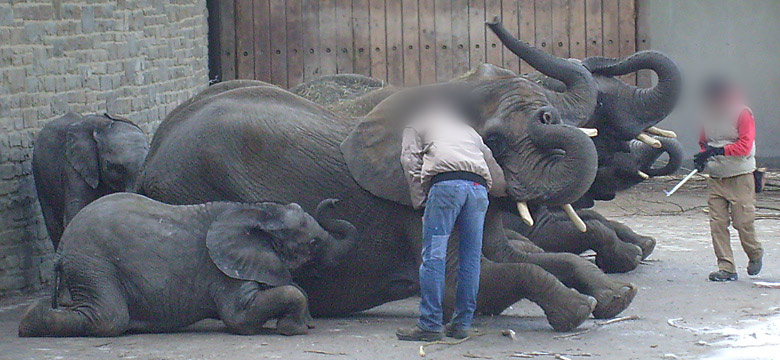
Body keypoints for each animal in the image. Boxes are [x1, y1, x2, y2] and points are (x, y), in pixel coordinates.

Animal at [19, 194, 356, 338]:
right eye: (313, 243)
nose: (336, 201)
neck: (257, 211)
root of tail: (62, 247)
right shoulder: (223, 272)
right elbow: (240, 317)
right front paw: (294, 330)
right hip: (93, 262)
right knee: (108, 319)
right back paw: (30, 321)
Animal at [139, 21, 640, 332]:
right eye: (494, 141)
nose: (546, 114)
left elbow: (531, 255)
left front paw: (617, 297)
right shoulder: (414, 206)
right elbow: (469, 282)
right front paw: (577, 310)